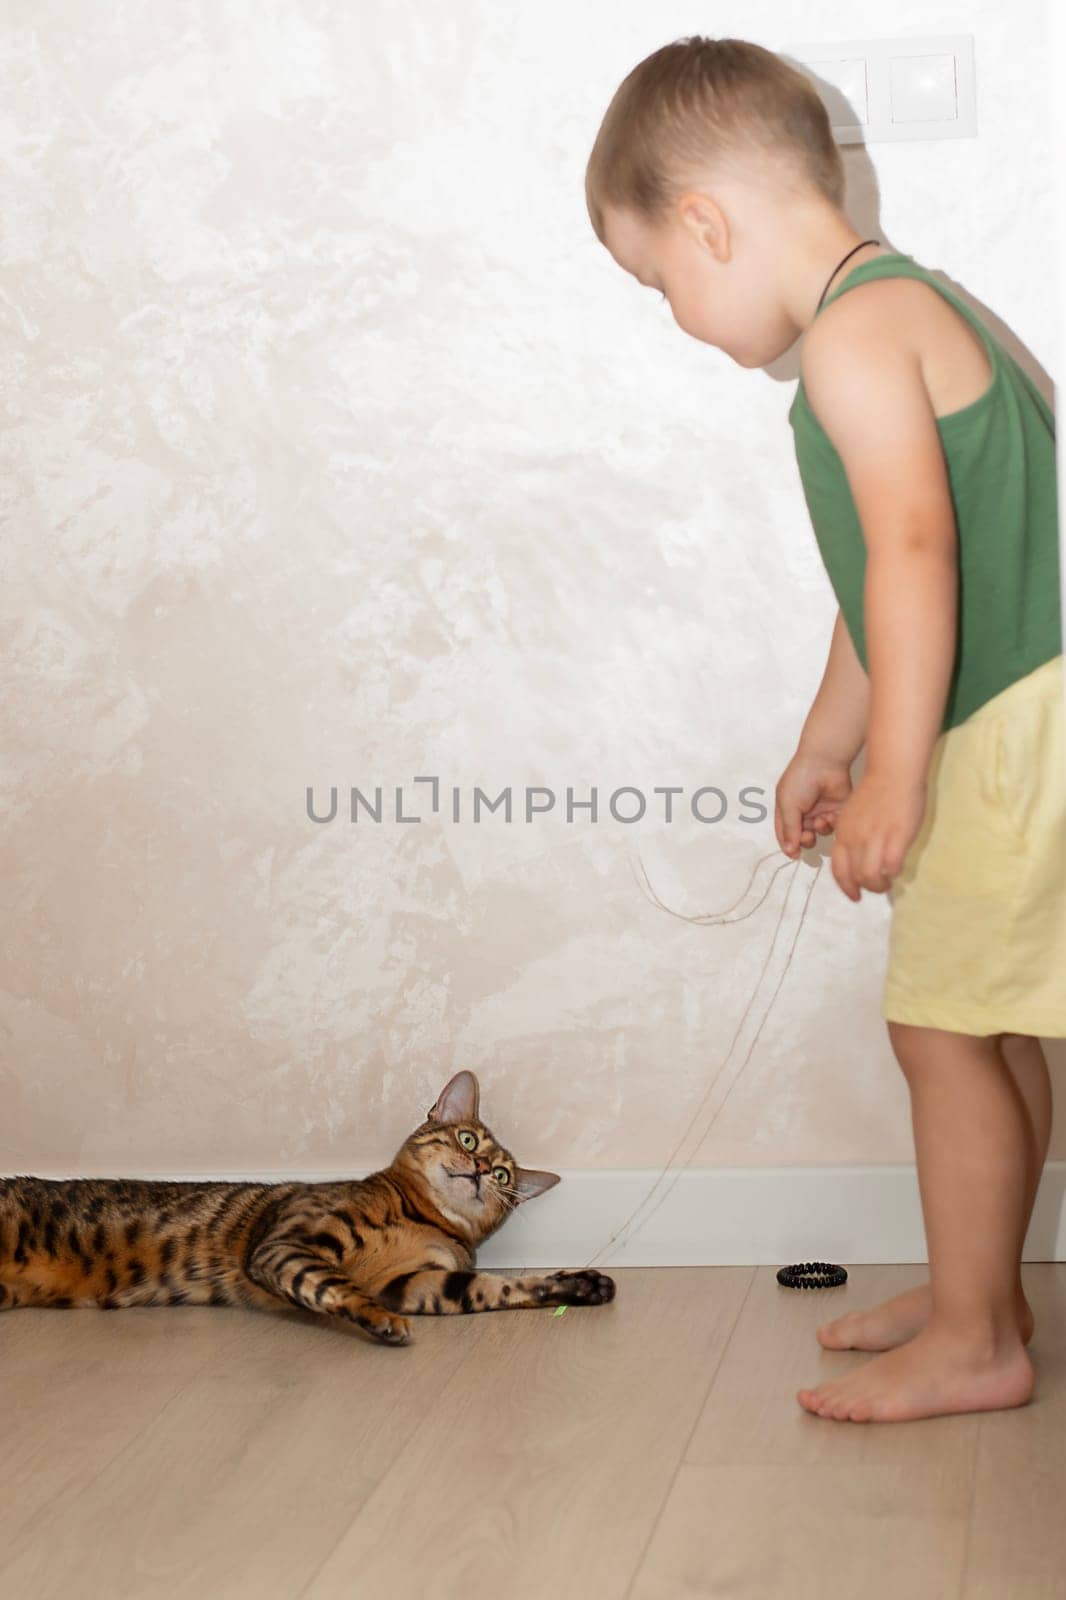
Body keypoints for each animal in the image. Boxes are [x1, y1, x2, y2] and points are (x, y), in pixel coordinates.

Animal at [0, 1068, 614, 1344]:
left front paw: (581, 1284)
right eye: (468, 1139)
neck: (419, 1217)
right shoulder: (289, 1243)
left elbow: (498, 1288)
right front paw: (378, 1321)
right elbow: (331, 1284)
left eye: (506, 1176)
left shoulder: (418, 1281)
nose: (485, 1171)